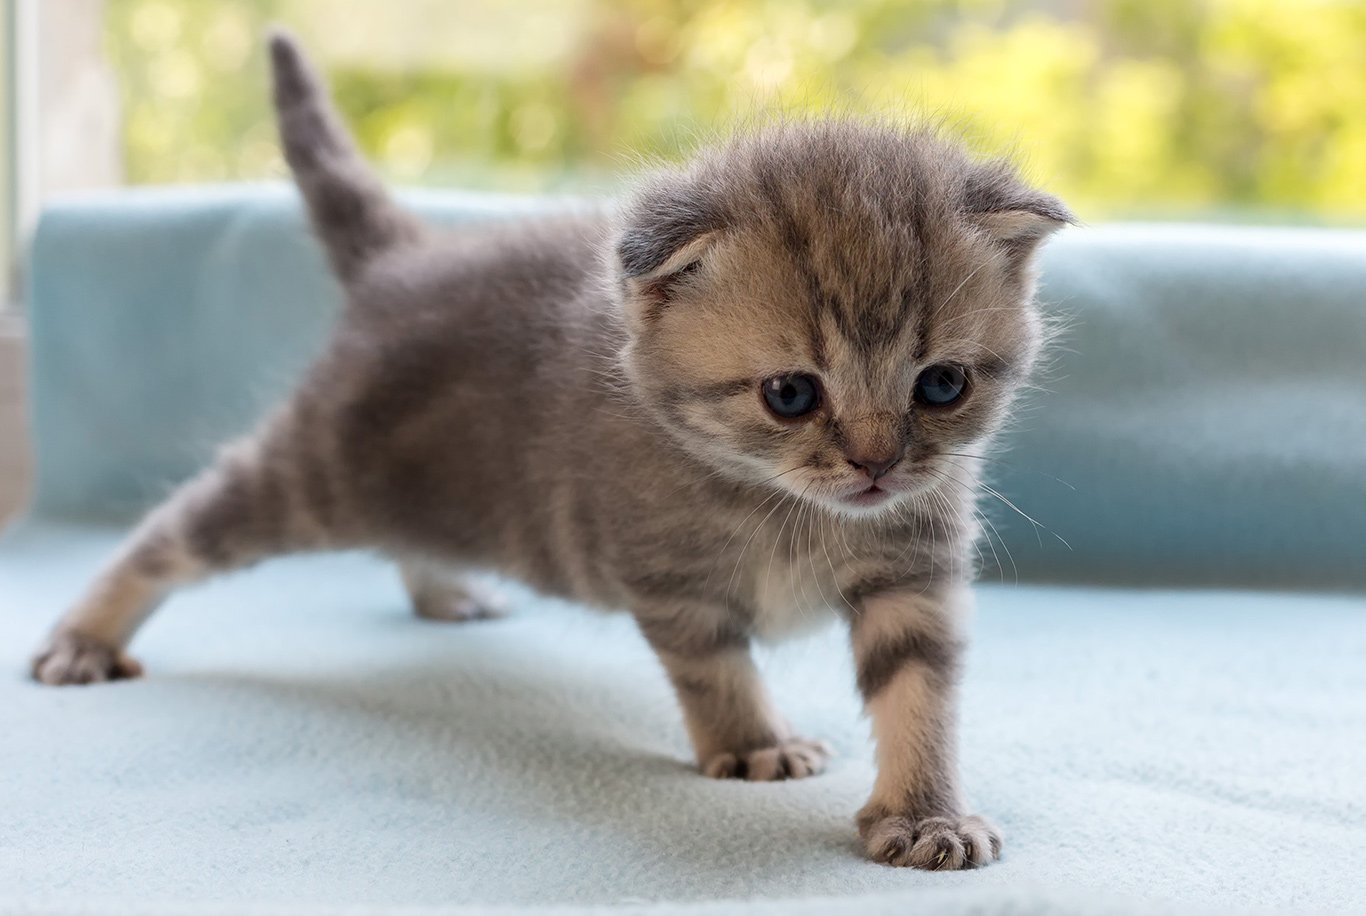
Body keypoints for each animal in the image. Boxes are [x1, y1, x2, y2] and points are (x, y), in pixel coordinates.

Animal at [24, 32, 1065, 868]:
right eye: (791, 395)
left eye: (941, 385)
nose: (877, 465)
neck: (785, 507)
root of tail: (405, 260)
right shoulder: (671, 586)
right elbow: (717, 672)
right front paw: (755, 743)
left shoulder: (912, 577)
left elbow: (920, 696)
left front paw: (926, 815)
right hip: (311, 474)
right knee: (171, 532)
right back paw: (83, 637)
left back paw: (444, 591)